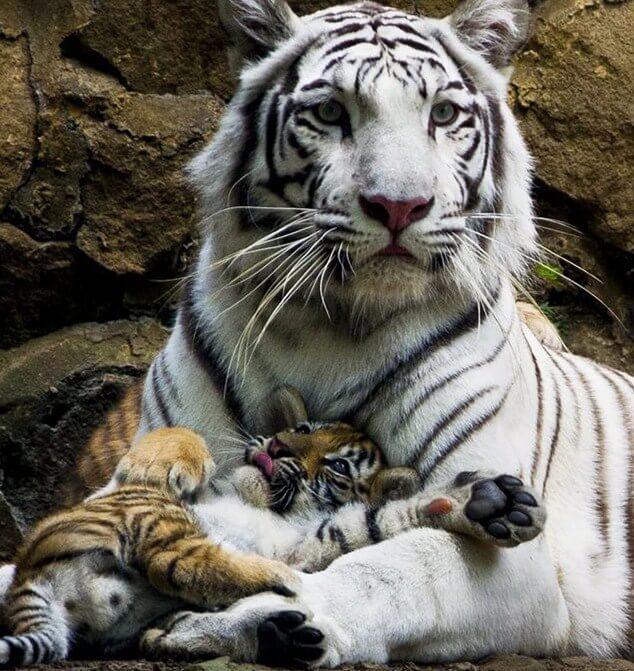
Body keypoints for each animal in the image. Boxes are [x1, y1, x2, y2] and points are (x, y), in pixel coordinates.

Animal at [0, 389, 546, 667]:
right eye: (303, 430)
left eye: (338, 466)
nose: (279, 445)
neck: (258, 504)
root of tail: (39, 579)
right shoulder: (109, 495)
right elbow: (181, 434)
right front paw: (161, 461)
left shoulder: (306, 543)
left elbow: (369, 520)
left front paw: (488, 505)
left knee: (180, 569)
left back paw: (277, 633)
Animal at [64, 0, 632, 666]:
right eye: (332, 112)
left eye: (442, 114)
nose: (400, 206)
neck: (332, 324)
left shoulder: (519, 564)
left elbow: (384, 572)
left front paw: (236, 620)